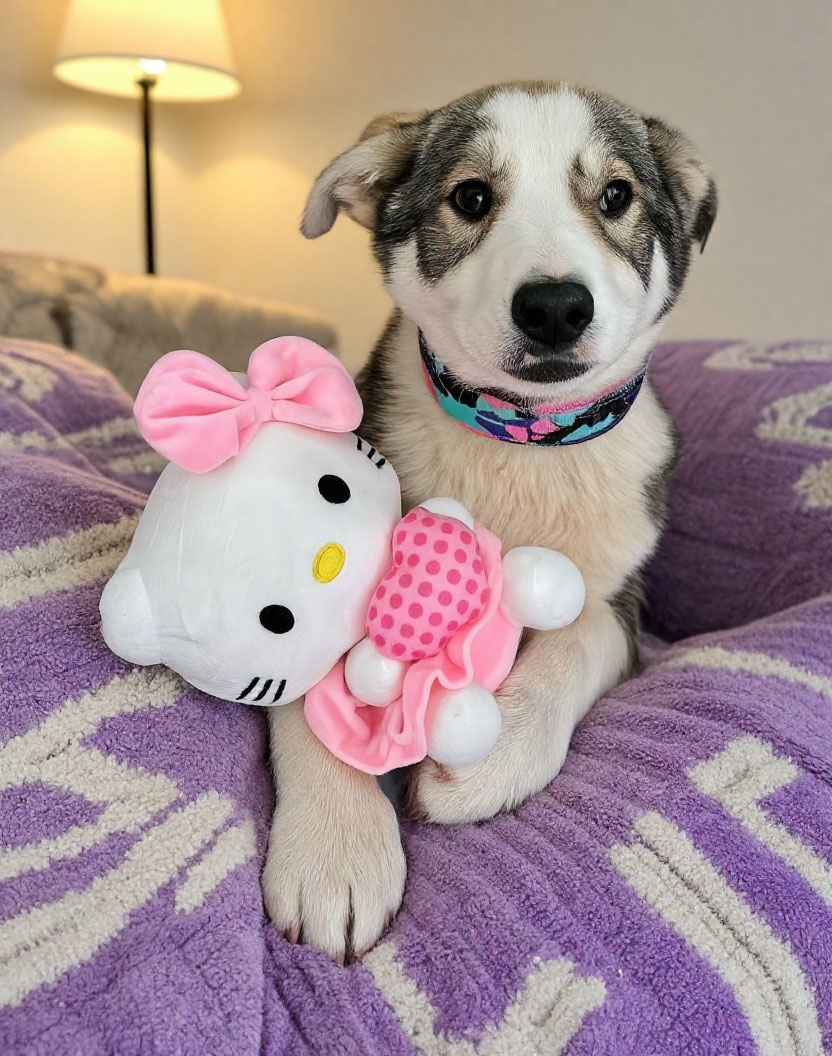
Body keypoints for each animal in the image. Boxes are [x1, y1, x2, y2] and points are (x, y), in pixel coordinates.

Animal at [261, 81, 716, 961]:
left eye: (616, 196)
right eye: (471, 197)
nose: (555, 308)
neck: (523, 442)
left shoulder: (623, 604)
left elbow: (574, 641)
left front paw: (493, 754)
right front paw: (336, 849)